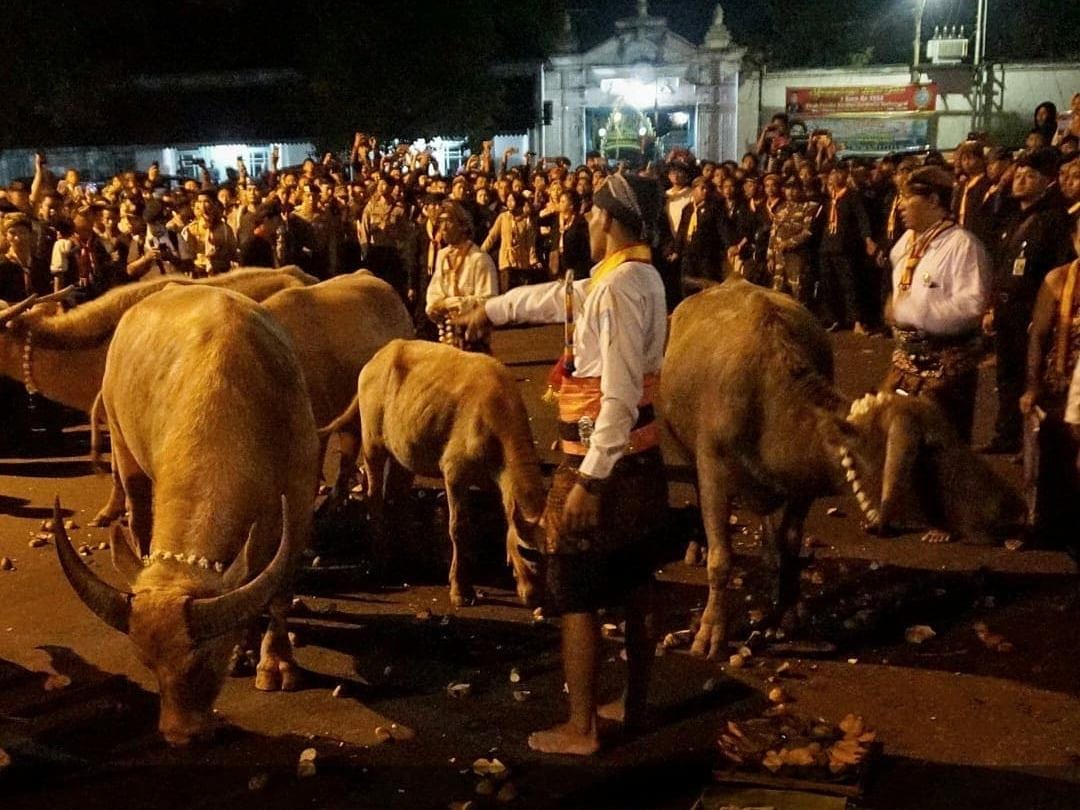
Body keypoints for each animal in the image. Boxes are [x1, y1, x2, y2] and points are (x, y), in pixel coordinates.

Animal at [54, 287, 315, 747]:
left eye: (203, 660)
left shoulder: (299, 503)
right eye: (146, 663)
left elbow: (279, 590)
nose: (179, 736)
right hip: (123, 447)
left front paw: (276, 663)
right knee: (138, 514)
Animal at [656, 278, 1019, 660]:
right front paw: (711, 631)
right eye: (933, 446)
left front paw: (789, 614)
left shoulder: (802, 488)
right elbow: (721, 560)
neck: (768, 410)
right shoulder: (712, 474)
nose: (1011, 508)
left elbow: (788, 546)